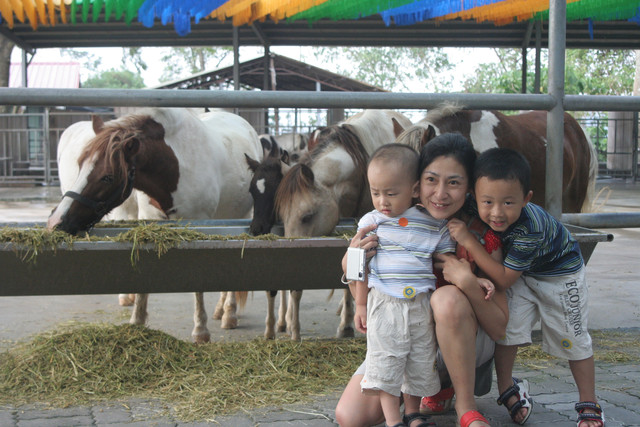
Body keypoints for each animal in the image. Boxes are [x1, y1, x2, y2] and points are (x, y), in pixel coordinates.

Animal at [47, 109, 262, 344]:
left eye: (107, 177)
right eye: (80, 164)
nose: (56, 221)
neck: (174, 168)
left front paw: (200, 331)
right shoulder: (148, 223)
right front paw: (137, 321)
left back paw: (229, 313)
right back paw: (220, 309)